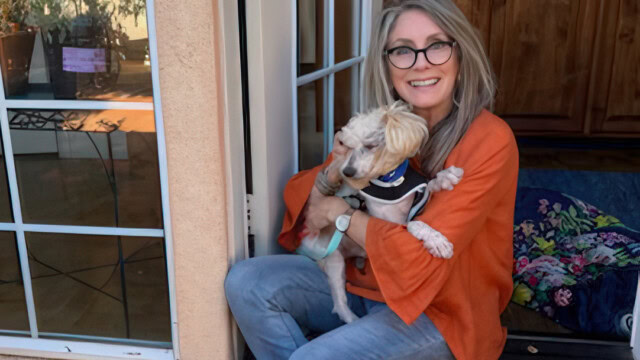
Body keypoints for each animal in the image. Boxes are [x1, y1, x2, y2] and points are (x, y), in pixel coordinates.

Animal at [298, 101, 462, 324]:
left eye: (370, 146)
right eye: (346, 146)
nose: (347, 172)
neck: (390, 181)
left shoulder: (415, 201)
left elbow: (427, 190)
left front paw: (445, 177)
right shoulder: (381, 222)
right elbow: (412, 224)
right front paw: (437, 241)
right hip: (334, 259)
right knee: (340, 303)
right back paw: (352, 320)